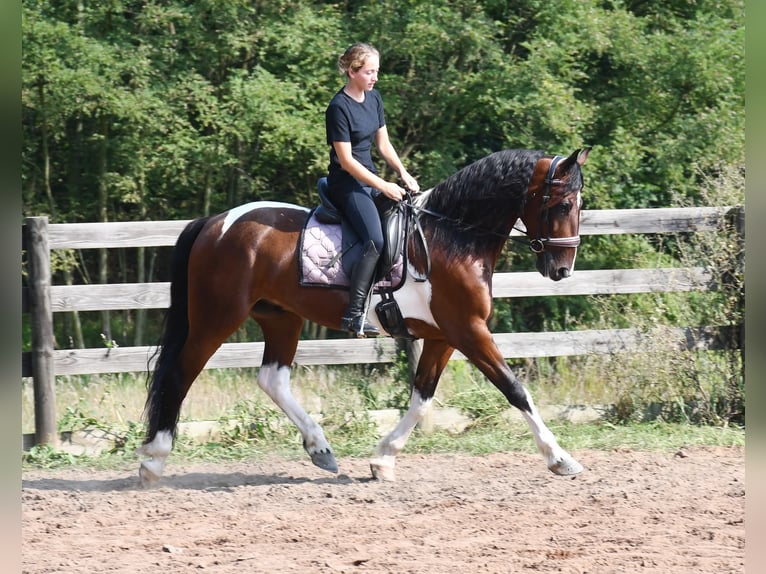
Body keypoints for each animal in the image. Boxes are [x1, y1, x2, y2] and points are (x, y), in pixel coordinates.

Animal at [137, 147, 591, 485]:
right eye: (564, 204)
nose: (562, 270)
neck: (452, 237)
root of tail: (216, 222)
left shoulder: (444, 336)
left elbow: (422, 397)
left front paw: (383, 459)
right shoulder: (468, 330)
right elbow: (515, 389)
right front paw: (560, 458)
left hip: (282, 318)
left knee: (272, 379)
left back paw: (320, 448)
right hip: (216, 318)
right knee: (180, 373)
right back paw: (154, 459)